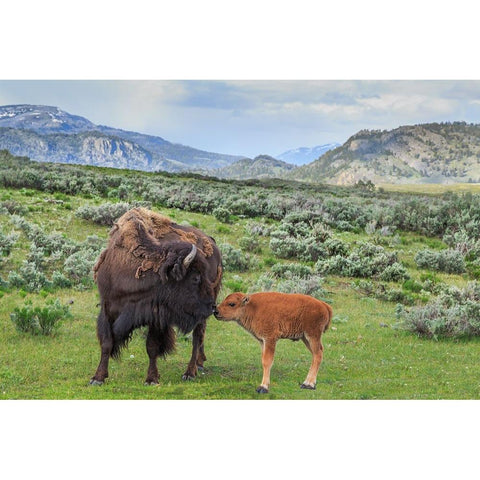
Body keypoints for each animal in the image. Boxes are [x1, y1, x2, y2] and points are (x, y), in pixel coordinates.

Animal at [89, 207, 222, 386]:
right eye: (195, 278)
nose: (211, 306)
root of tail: (212, 243)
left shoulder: (155, 316)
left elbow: (151, 347)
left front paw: (151, 379)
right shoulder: (107, 307)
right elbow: (106, 343)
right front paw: (98, 378)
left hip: (198, 317)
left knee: (197, 336)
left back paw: (190, 372)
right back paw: (200, 363)